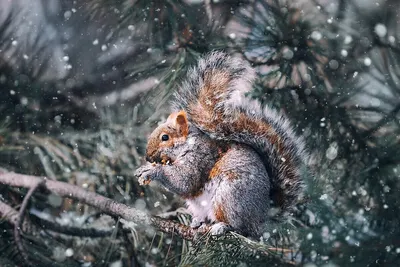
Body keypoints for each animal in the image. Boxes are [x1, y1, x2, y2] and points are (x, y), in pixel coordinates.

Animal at [134, 51, 306, 238]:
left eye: (165, 137)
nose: (147, 156)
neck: (188, 144)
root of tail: (263, 219)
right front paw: (143, 168)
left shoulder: (199, 157)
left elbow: (185, 181)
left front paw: (152, 171)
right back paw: (197, 222)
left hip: (229, 197)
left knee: (241, 227)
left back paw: (222, 226)